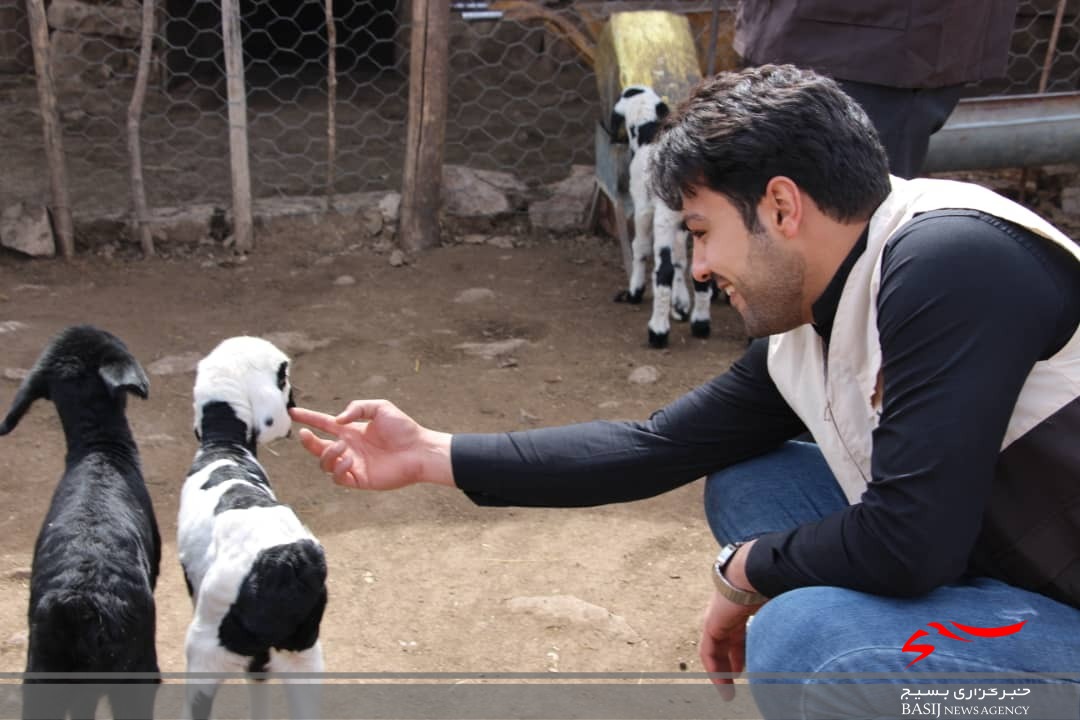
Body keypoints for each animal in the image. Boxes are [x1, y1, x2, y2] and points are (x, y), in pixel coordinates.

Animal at [178, 338, 324, 720]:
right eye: (285, 381)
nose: (295, 406)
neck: (226, 450)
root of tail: (285, 563)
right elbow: (258, 680)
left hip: (205, 648)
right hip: (303, 651)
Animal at [609, 84, 717, 349]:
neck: (647, 131)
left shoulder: (645, 208)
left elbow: (640, 248)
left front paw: (635, 291)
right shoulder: (681, 225)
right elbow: (681, 261)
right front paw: (680, 306)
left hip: (662, 216)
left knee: (663, 271)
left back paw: (657, 332)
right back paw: (700, 324)